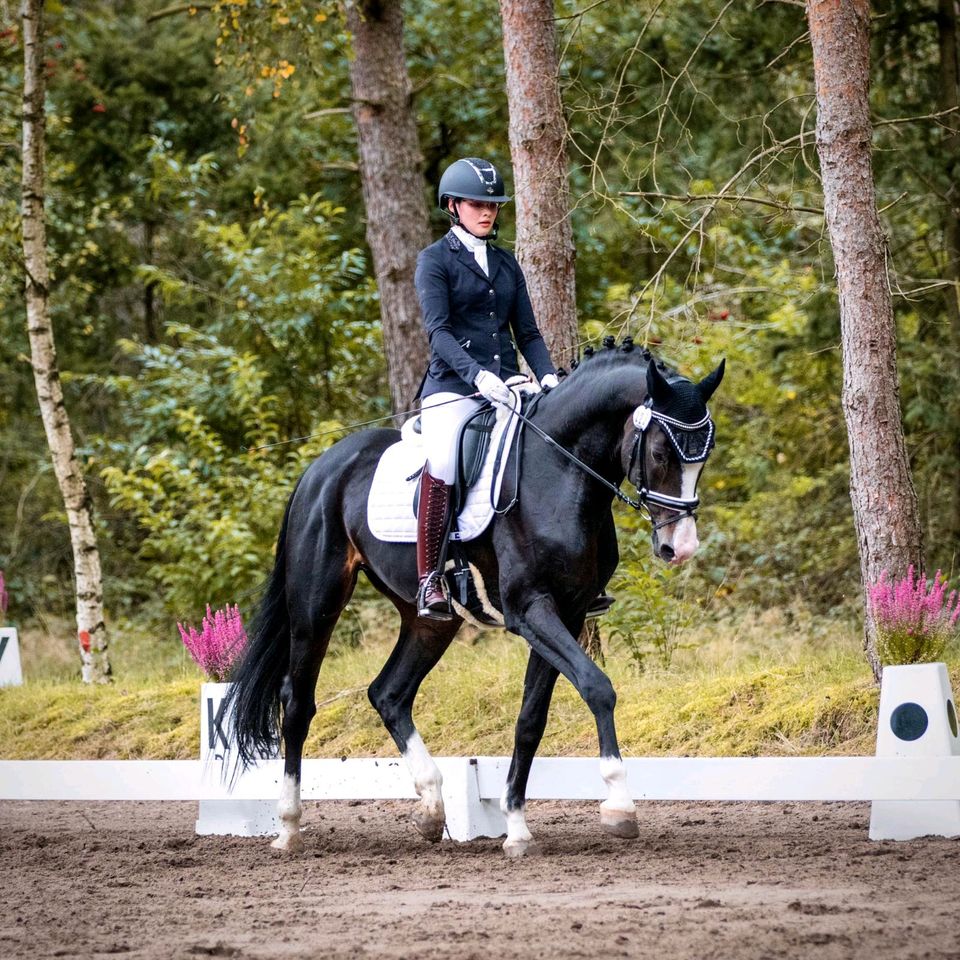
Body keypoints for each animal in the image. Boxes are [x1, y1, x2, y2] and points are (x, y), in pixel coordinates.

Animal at [223, 344, 720, 856]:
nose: (680, 548)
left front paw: (516, 827)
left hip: (431, 621)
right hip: (315, 606)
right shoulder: (531, 610)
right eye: (660, 452)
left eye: (705, 456)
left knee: (389, 693)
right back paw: (288, 827)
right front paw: (620, 805)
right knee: (297, 703)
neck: (558, 471)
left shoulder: (568, 611)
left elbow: (530, 719)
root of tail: (319, 469)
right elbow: (597, 686)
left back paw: (430, 808)